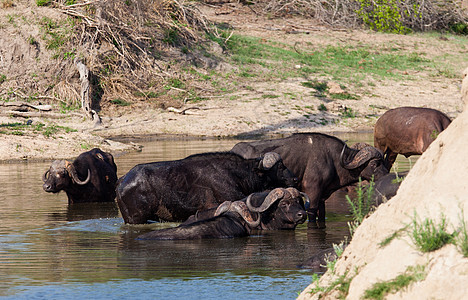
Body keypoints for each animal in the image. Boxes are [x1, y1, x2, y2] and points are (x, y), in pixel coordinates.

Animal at [230, 133, 388, 227]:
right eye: (375, 163)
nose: (387, 175)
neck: (334, 160)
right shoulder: (312, 193)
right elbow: (311, 216)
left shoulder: (322, 197)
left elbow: (321, 215)